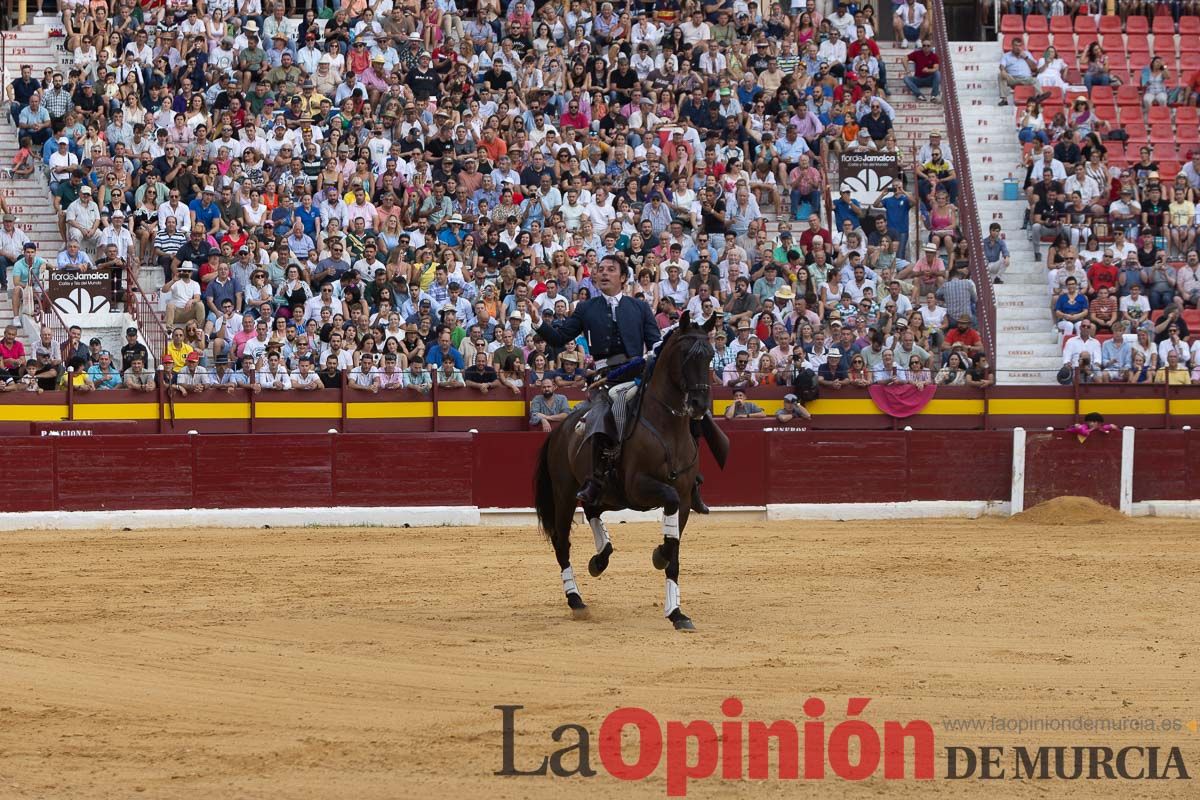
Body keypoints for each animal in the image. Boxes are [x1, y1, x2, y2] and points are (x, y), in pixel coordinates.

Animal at [537, 311, 724, 633]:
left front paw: (677, 612)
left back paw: (600, 559)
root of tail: (561, 428)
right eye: (686, 355)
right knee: (562, 542)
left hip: (605, 493)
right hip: (564, 494)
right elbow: (669, 508)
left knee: (592, 509)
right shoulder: (640, 487)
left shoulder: (686, 499)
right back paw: (576, 600)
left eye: (711, 355)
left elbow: (674, 551)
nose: (699, 405)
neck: (668, 428)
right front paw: (660, 558)